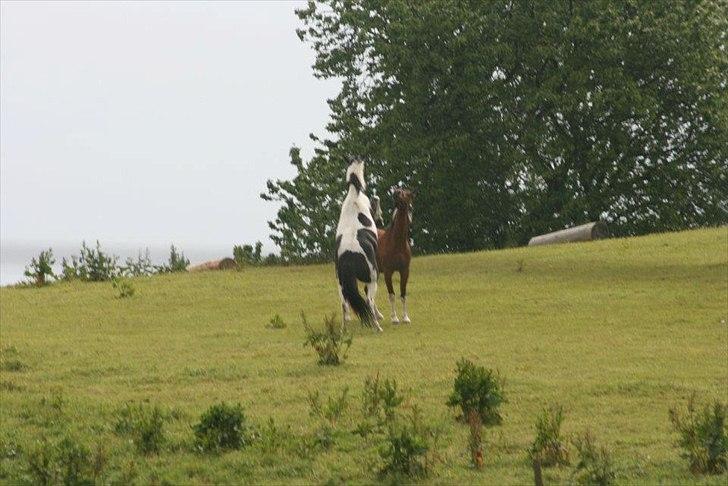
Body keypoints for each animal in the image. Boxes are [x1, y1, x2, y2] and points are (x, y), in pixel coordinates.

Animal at [334, 158, 384, 332]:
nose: (381, 220)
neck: (354, 197)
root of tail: (349, 256)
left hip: (341, 284)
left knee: (344, 304)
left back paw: (343, 329)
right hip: (372, 278)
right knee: (369, 300)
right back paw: (377, 325)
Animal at [378, 189, 412, 322]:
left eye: (406, 193)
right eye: (398, 191)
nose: (395, 193)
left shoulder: (404, 271)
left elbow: (403, 294)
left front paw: (406, 318)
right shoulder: (388, 271)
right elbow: (391, 295)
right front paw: (394, 318)